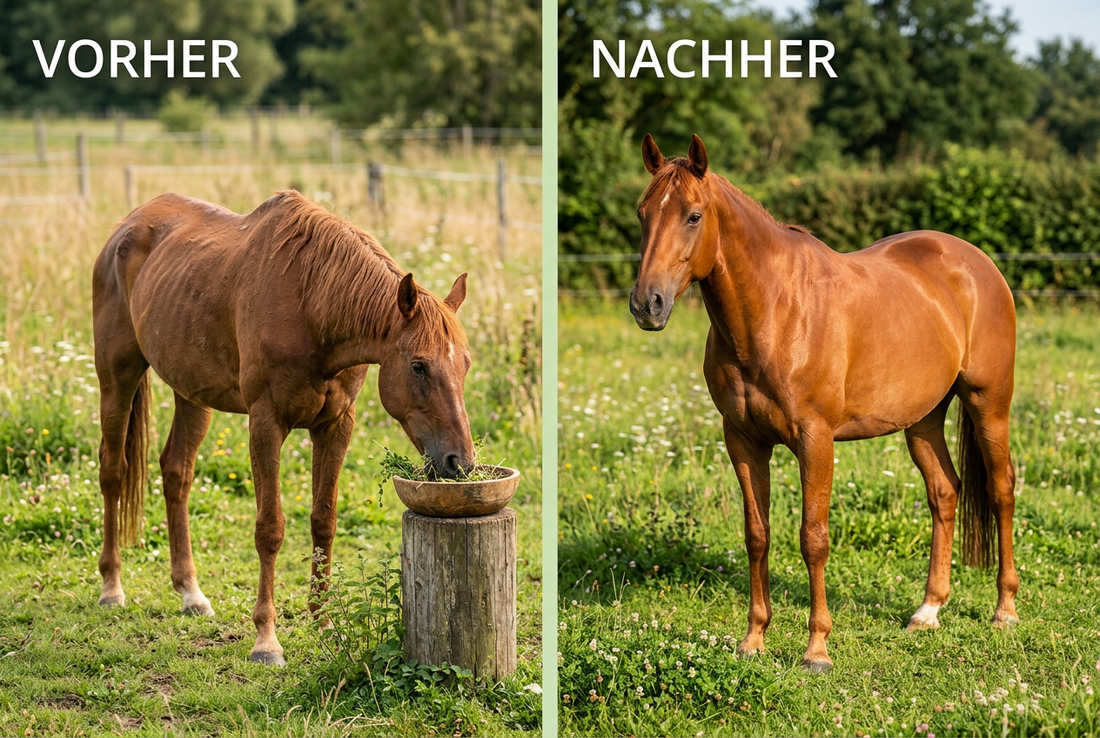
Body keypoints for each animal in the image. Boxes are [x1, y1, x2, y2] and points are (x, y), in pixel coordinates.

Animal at [92, 190, 475, 665]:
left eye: (465, 364)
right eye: (419, 366)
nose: (460, 462)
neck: (312, 306)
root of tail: (129, 224)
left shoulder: (335, 425)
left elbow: (323, 520)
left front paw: (324, 623)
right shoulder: (266, 423)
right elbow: (269, 529)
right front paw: (266, 640)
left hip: (191, 393)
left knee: (176, 471)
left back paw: (190, 593)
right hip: (117, 377)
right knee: (113, 470)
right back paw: (111, 587)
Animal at [628, 134, 1019, 673]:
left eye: (693, 216)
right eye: (643, 213)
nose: (648, 304)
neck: (774, 311)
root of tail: (977, 262)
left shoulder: (816, 441)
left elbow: (813, 539)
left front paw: (817, 649)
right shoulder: (743, 441)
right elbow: (757, 535)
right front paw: (753, 639)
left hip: (988, 404)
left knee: (1001, 490)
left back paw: (1005, 609)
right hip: (922, 419)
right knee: (944, 492)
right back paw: (928, 611)